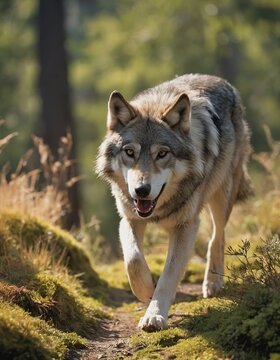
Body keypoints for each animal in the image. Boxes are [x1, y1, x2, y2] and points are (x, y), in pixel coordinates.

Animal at [96, 73, 254, 332]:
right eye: (130, 152)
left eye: (162, 154)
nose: (141, 190)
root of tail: (219, 80)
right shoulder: (129, 218)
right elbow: (133, 261)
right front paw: (146, 290)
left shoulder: (185, 226)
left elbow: (169, 276)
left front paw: (154, 316)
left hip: (222, 194)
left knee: (217, 236)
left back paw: (213, 282)